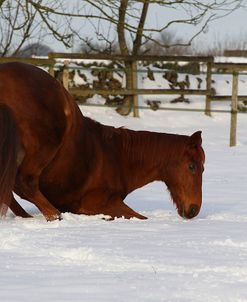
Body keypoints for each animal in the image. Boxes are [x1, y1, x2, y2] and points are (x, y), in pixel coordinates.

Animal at [0, 62, 205, 222]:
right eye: (192, 167)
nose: (194, 210)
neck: (118, 157)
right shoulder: (103, 203)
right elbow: (140, 217)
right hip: (45, 146)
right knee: (24, 183)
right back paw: (55, 216)